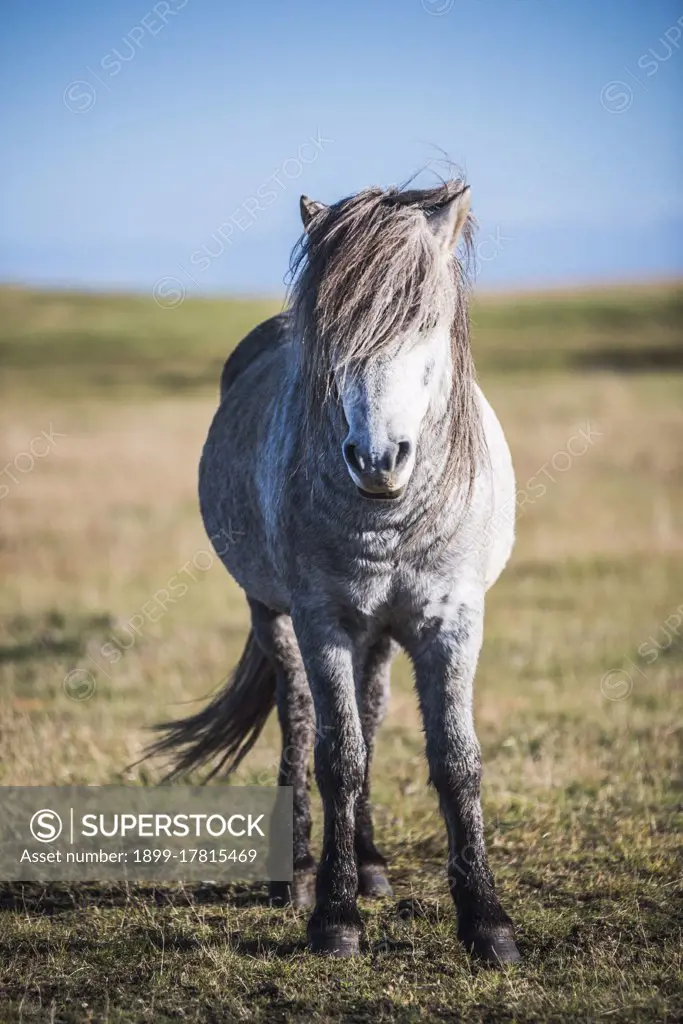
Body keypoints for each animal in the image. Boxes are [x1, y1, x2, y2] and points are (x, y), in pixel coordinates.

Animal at [150, 180, 524, 962]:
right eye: (334, 335)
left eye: (425, 323)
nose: (377, 458)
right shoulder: (322, 620)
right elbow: (337, 757)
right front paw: (334, 916)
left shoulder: (451, 620)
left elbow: (454, 758)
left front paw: (486, 922)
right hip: (274, 615)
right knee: (300, 722)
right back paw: (294, 874)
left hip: (377, 628)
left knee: (374, 713)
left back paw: (373, 863)